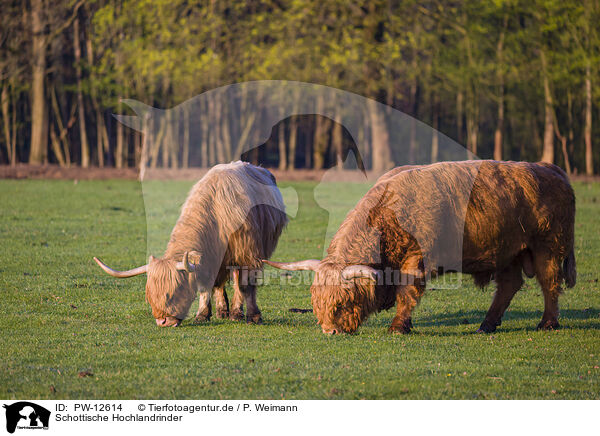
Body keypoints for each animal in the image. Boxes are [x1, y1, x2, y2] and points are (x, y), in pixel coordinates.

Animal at [95, 162, 288, 326]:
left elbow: (246, 285)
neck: (216, 213)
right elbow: (207, 285)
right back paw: (223, 311)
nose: (162, 322)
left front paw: (253, 317)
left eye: (175, 292)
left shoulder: (248, 253)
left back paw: (236, 313)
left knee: (237, 279)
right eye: (149, 296)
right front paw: (202, 315)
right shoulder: (211, 259)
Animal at [264, 160, 576, 334]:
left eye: (343, 301)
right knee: (509, 285)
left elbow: (408, 292)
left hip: (548, 246)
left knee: (550, 282)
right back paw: (486, 325)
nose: (330, 331)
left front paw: (398, 327)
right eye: (316, 302)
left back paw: (547, 323)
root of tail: (552, 169)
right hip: (507, 251)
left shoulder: (416, 260)